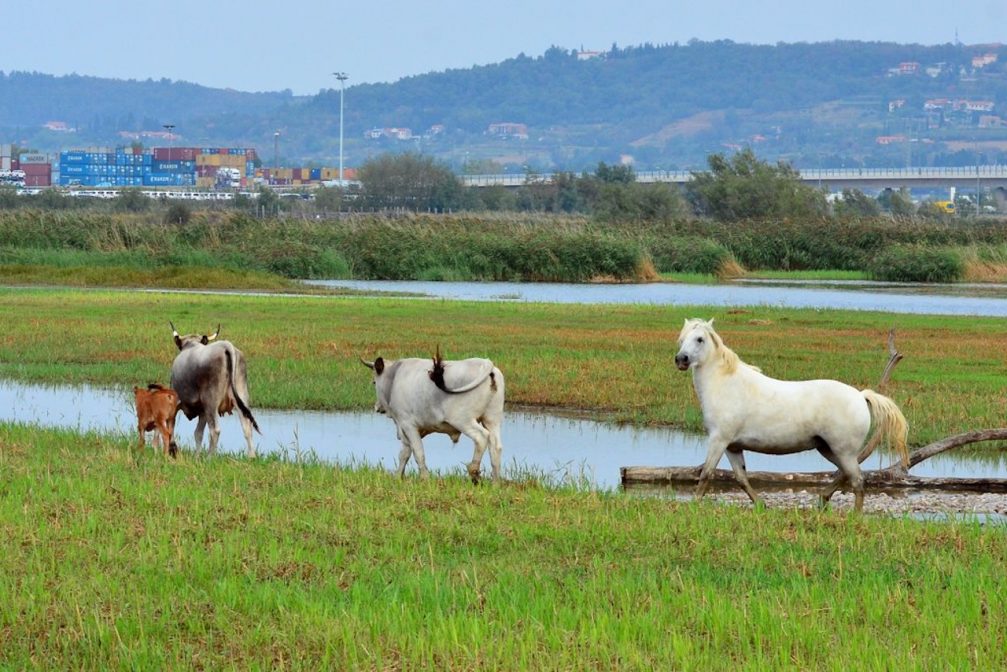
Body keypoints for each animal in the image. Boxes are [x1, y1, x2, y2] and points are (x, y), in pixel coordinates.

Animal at [167, 322, 259, 457]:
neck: (191, 344)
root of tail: (225, 346)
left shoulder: (176, 403)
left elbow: (170, 427)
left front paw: (172, 450)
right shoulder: (202, 410)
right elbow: (198, 433)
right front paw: (196, 457)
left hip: (211, 402)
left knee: (215, 430)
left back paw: (210, 457)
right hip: (241, 395)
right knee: (247, 426)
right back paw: (251, 456)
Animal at [360, 352, 503, 483]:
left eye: (374, 382)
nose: (377, 407)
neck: (394, 378)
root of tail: (485, 363)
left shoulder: (407, 424)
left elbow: (418, 453)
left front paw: (424, 478)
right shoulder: (405, 429)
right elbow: (404, 453)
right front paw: (398, 477)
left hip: (463, 421)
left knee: (481, 438)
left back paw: (473, 473)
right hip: (492, 420)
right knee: (496, 446)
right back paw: (495, 482)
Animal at [672, 320, 910, 509]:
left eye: (700, 339)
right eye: (682, 339)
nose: (681, 359)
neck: (726, 385)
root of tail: (860, 396)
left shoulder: (718, 440)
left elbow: (706, 474)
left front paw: (694, 506)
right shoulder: (732, 446)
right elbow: (741, 478)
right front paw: (761, 505)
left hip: (843, 451)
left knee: (858, 481)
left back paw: (854, 515)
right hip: (828, 449)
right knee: (847, 474)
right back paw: (823, 498)